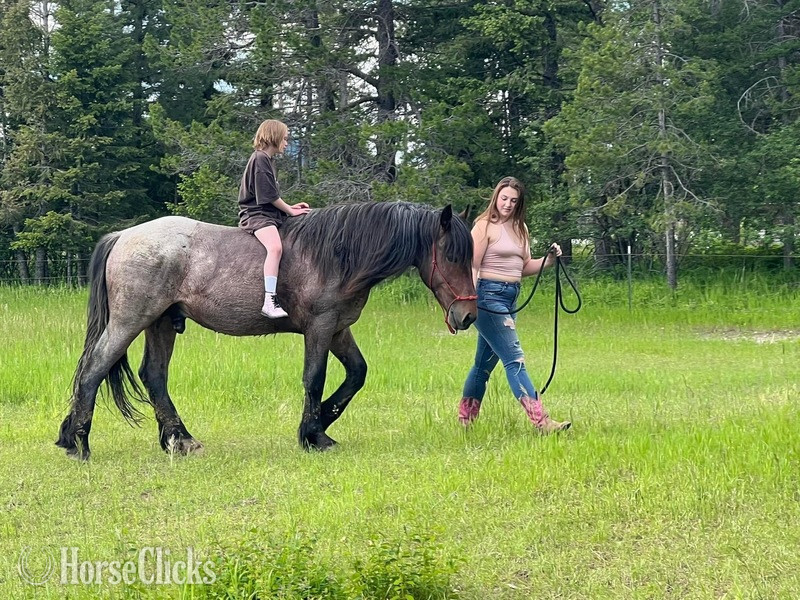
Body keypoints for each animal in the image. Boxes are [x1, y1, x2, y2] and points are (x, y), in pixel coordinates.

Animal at [56, 202, 477, 459]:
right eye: (452, 255)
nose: (468, 315)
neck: (338, 254)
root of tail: (123, 236)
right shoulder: (321, 328)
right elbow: (314, 378)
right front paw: (312, 434)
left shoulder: (338, 330)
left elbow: (356, 375)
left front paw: (322, 423)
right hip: (131, 320)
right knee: (95, 368)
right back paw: (78, 441)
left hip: (161, 324)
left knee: (154, 376)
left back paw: (180, 440)